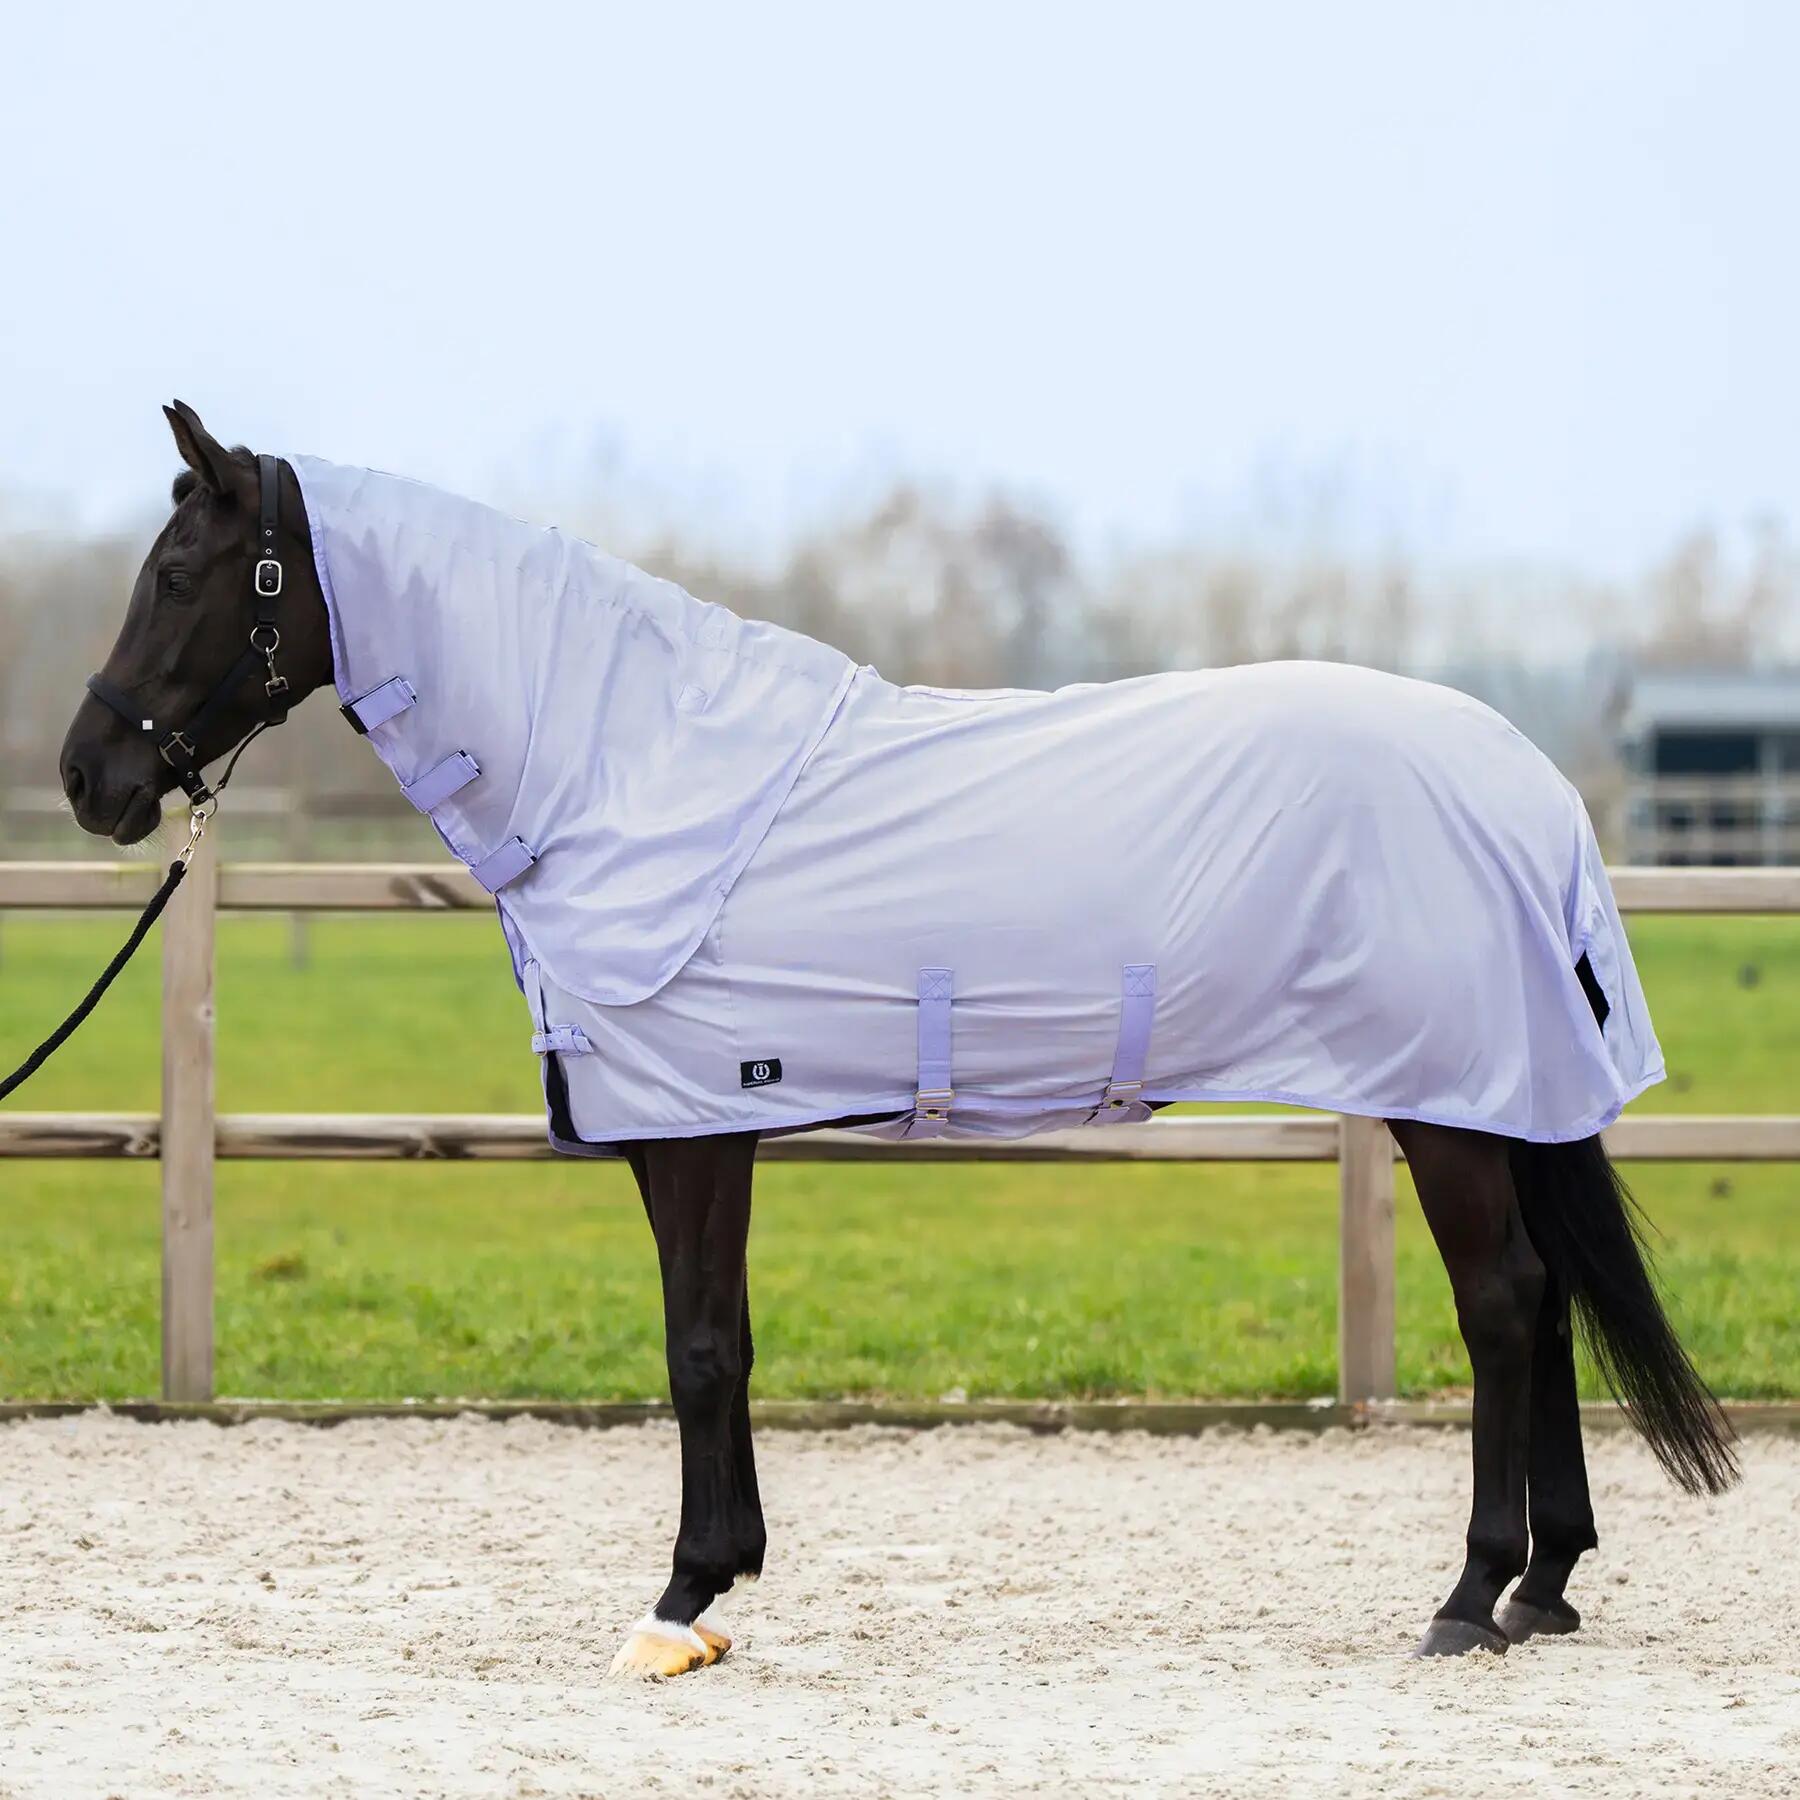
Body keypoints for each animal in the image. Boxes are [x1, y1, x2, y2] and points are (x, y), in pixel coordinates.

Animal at [57, 402, 1738, 1677]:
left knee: (1506, 1303)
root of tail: (1531, 788)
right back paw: (1545, 1585)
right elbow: (722, 1341)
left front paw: (680, 1598)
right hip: (1495, 1096)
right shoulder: (698, 1129)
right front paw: (719, 1588)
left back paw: (1468, 1596)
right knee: (1550, 1295)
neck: (629, 775)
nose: (86, 779)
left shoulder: (695, 1128)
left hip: (1445, 1101)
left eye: (183, 569)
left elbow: (698, 1346)